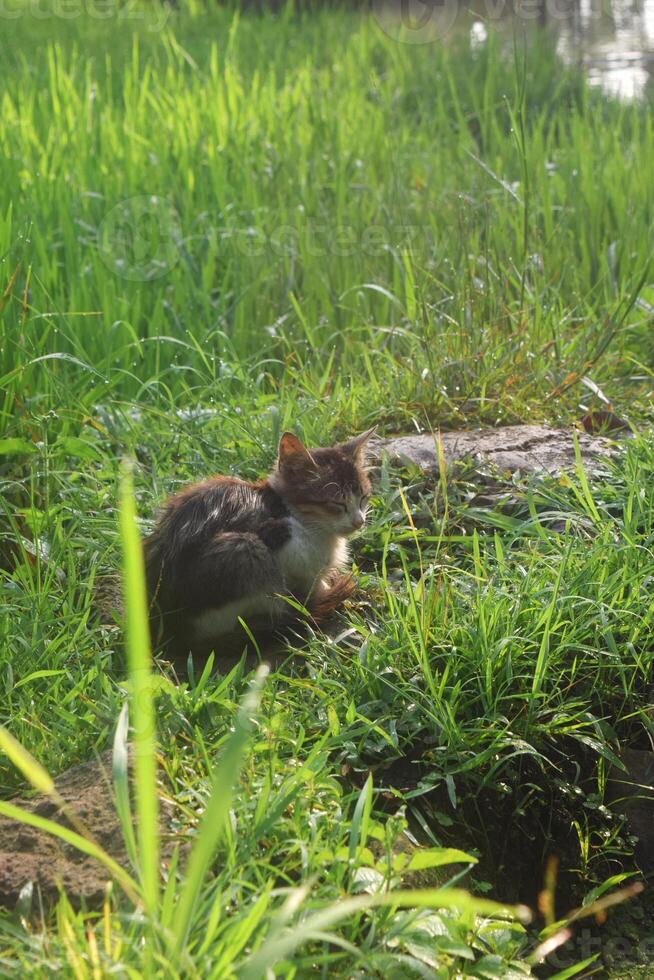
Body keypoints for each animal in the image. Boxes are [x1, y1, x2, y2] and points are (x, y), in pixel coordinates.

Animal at [145, 426, 376, 652]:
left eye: (363, 498)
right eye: (337, 503)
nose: (359, 521)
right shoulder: (284, 545)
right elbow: (308, 580)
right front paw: (322, 594)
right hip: (246, 550)